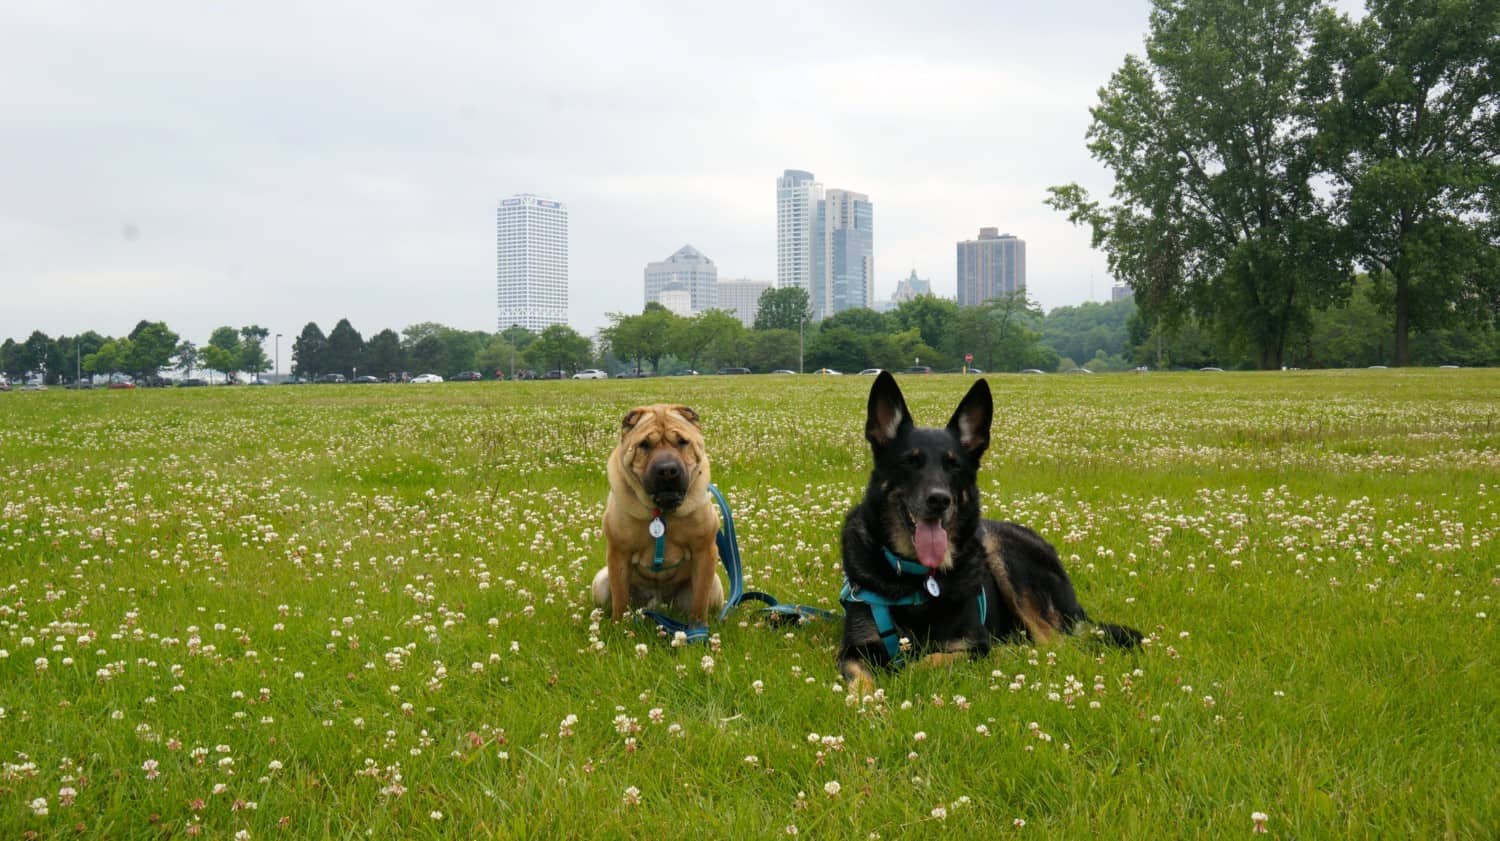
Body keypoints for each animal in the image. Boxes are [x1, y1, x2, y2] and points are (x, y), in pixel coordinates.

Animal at [840, 371, 1140, 689]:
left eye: (954, 466)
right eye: (910, 461)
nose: (939, 500)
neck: (917, 578)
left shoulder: (973, 644)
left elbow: (925, 663)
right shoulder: (855, 648)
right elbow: (861, 683)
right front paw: (872, 699)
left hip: (1004, 555)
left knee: (1053, 643)